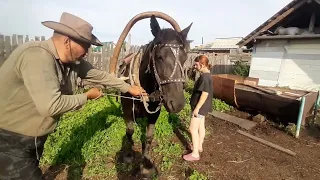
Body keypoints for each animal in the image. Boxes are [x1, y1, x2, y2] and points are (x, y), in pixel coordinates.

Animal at [110, 12, 191, 177]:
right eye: (159, 56)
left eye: (184, 58)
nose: (178, 103)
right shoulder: (127, 109)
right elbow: (129, 130)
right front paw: (128, 155)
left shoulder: (155, 113)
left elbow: (148, 136)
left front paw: (146, 163)